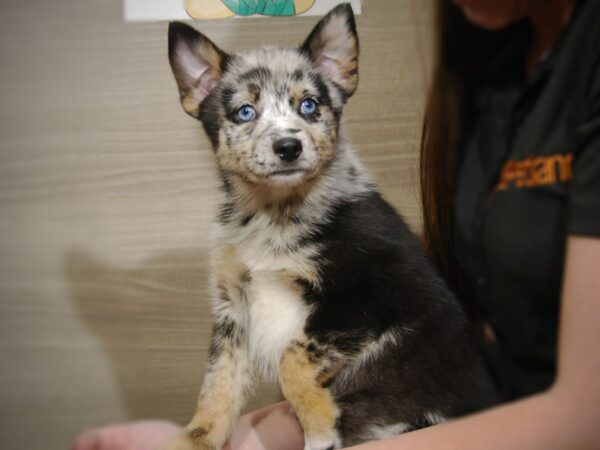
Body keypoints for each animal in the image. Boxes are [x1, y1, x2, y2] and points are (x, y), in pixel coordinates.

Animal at [166, 4, 494, 450]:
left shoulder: (368, 295)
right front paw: (196, 438)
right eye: (244, 112)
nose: (288, 147)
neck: (274, 213)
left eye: (309, 105)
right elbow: (217, 386)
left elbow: (292, 360)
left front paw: (320, 425)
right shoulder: (233, 310)